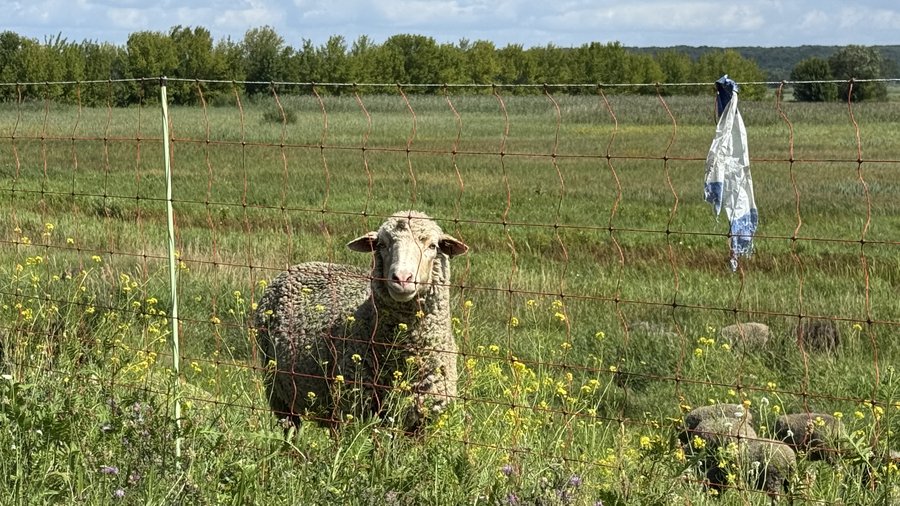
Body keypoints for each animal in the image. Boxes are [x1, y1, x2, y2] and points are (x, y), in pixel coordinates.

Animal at [253, 211, 468, 432]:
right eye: (381, 244)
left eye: (433, 246)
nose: (402, 278)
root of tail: (299, 266)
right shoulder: (356, 411)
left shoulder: (424, 422)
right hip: (278, 392)